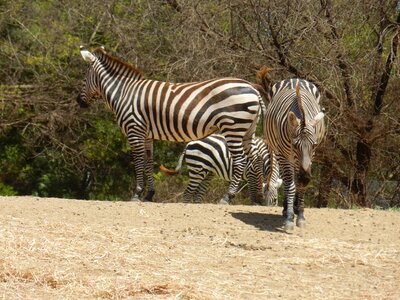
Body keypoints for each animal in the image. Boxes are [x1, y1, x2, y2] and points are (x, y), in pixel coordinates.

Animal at [76, 47, 268, 204]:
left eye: (84, 78)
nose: (78, 101)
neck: (123, 93)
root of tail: (253, 89)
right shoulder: (147, 135)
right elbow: (148, 162)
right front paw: (149, 194)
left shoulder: (134, 130)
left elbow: (138, 161)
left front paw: (137, 194)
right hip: (247, 130)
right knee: (255, 159)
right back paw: (257, 197)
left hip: (233, 127)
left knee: (241, 160)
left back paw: (227, 197)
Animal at [258, 74, 326, 229]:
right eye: (295, 145)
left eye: (314, 145)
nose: (305, 178)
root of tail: (295, 79)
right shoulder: (283, 155)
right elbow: (290, 184)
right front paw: (289, 217)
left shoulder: (310, 157)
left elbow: (299, 186)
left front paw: (300, 214)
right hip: (282, 154)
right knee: (289, 179)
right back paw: (286, 209)